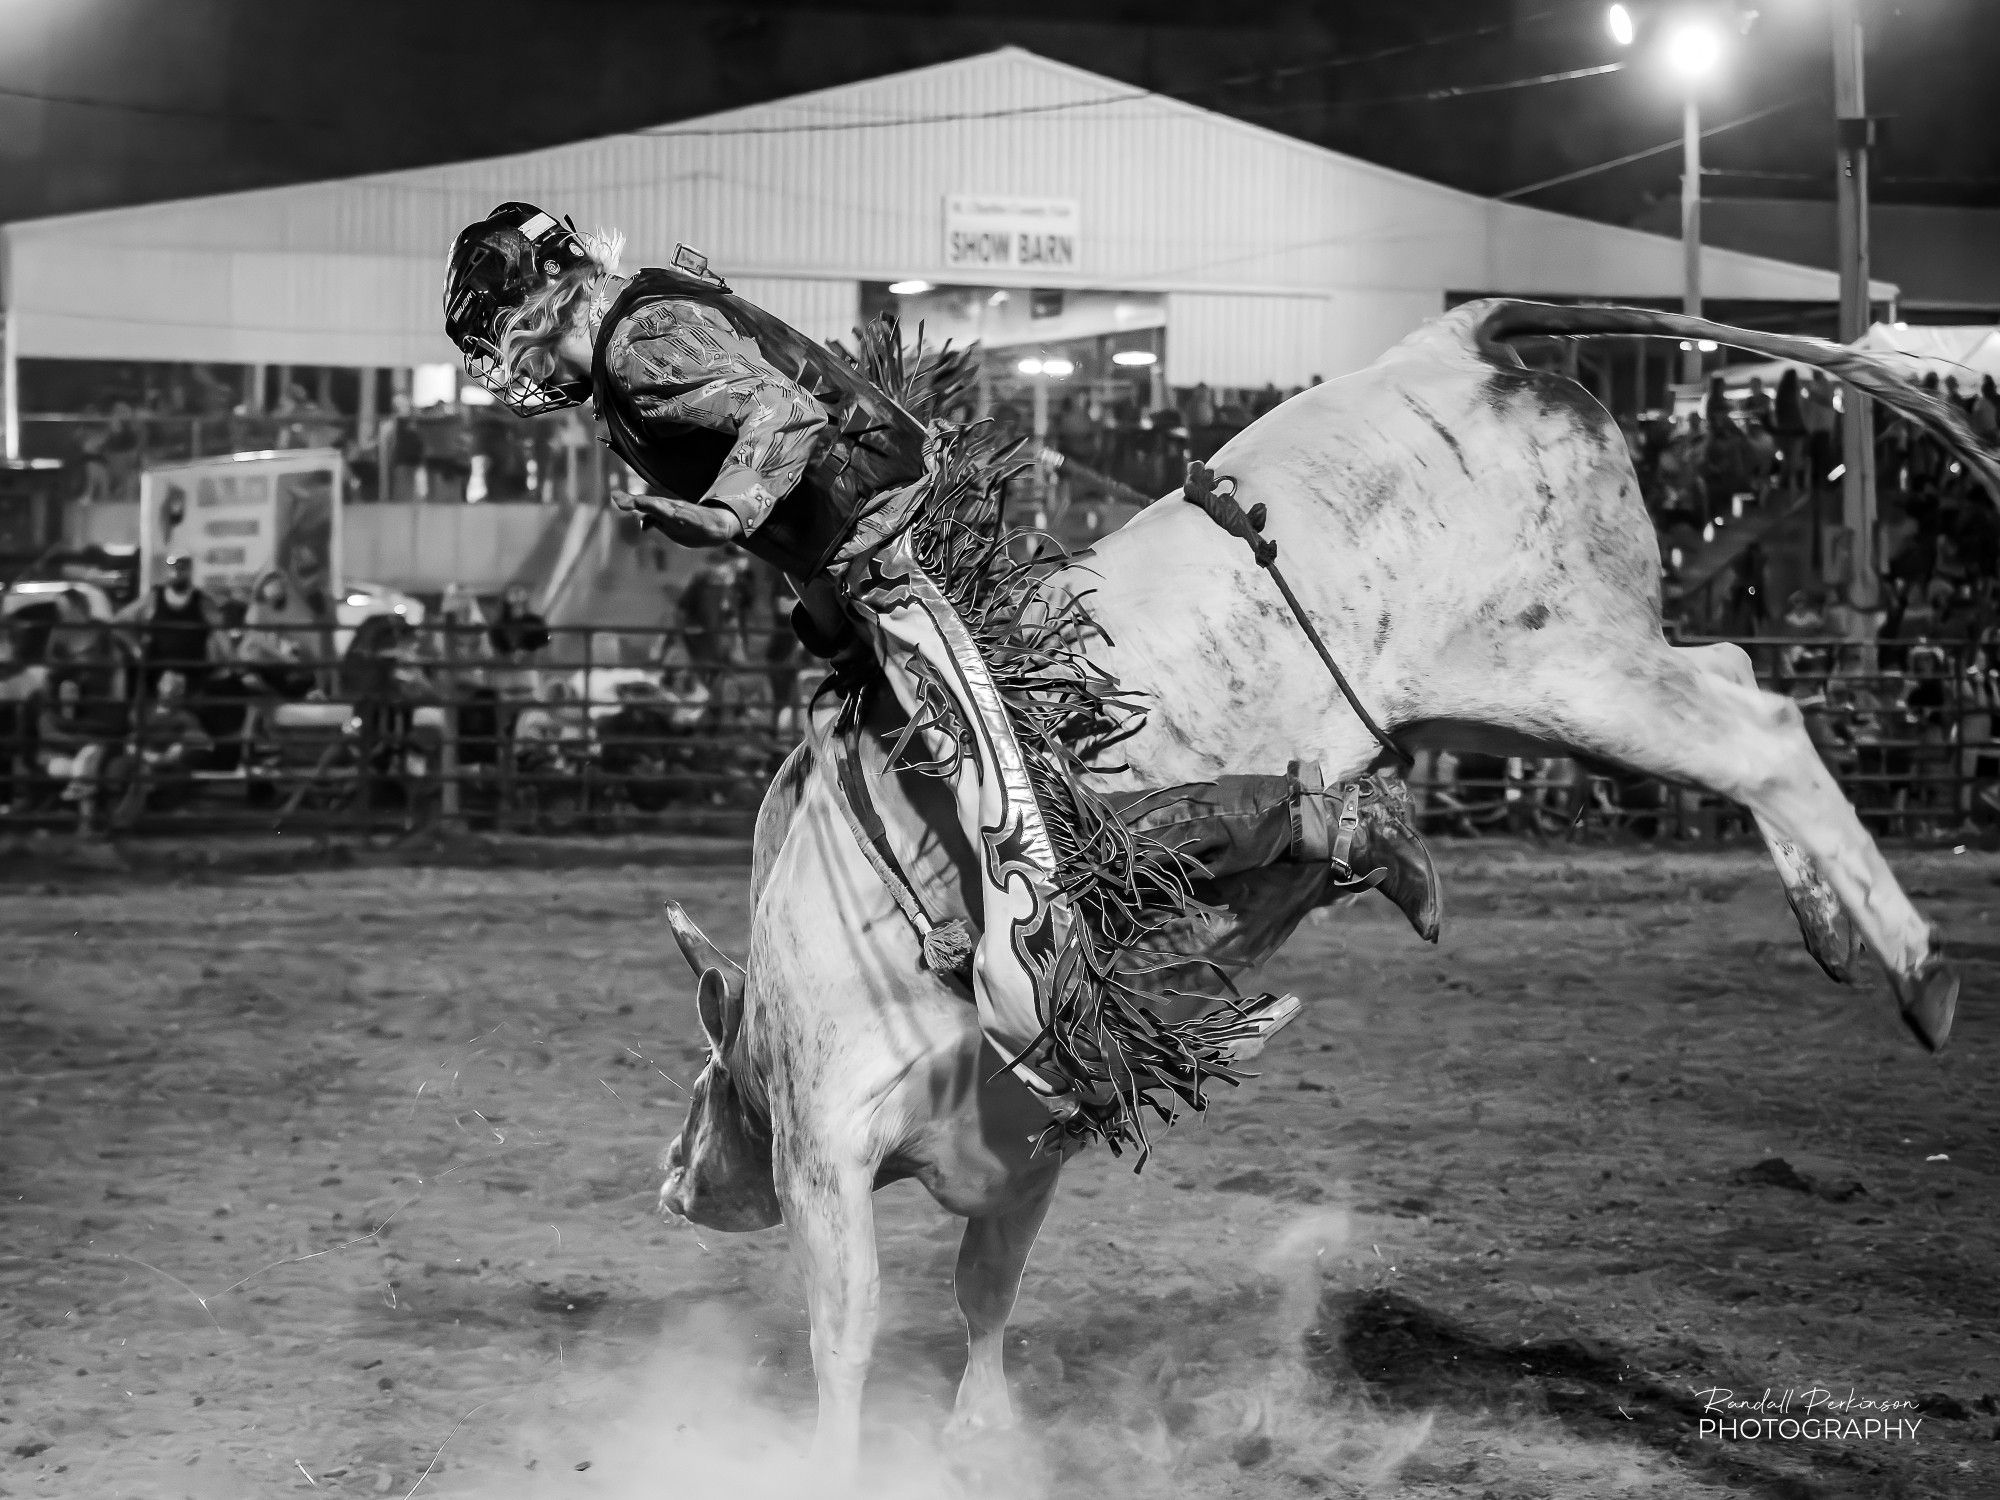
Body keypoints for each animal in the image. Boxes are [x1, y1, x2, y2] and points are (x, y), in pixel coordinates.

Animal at [652, 296, 1984, 1480]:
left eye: (707, 1076)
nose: (673, 1175)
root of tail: (1450, 344)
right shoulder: (1026, 1155)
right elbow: (985, 1290)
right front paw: (981, 1432)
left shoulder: (828, 1154)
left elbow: (848, 1332)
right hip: (1538, 693)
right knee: (1731, 670)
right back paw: (1821, 927)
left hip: (1554, 670)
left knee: (1760, 736)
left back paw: (1919, 973)